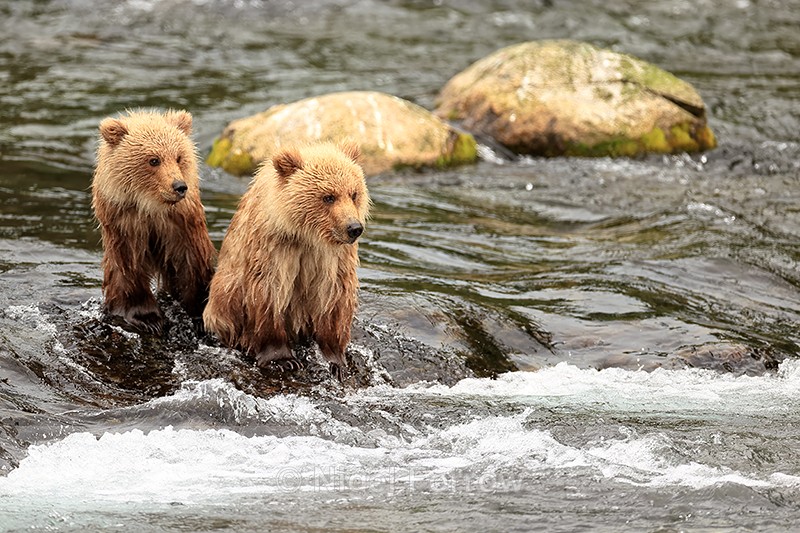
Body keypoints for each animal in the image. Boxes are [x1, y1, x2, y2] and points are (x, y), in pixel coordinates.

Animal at [92, 109, 216, 333]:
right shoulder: (127, 226)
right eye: (154, 160)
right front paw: (148, 319)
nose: (179, 186)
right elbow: (129, 269)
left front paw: (198, 315)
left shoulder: (180, 226)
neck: (151, 208)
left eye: (179, 157)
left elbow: (191, 264)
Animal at [203, 142, 370, 378]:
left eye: (354, 194)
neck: (307, 236)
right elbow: (269, 293)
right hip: (224, 300)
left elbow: (334, 298)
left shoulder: (333, 257)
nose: (354, 228)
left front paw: (336, 362)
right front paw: (283, 360)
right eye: (328, 196)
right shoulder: (275, 248)